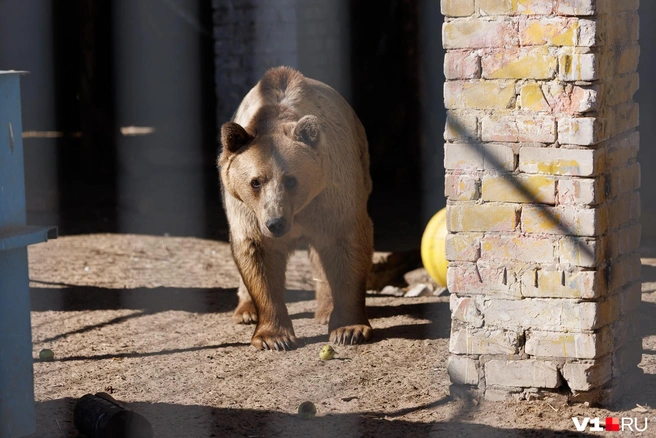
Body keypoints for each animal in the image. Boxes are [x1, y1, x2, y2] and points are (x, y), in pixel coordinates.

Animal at [218, 66, 374, 351]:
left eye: (291, 179)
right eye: (255, 181)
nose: (276, 223)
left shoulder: (332, 194)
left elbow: (346, 245)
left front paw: (349, 329)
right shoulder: (247, 212)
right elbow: (257, 255)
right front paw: (274, 337)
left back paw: (325, 309)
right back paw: (245, 311)